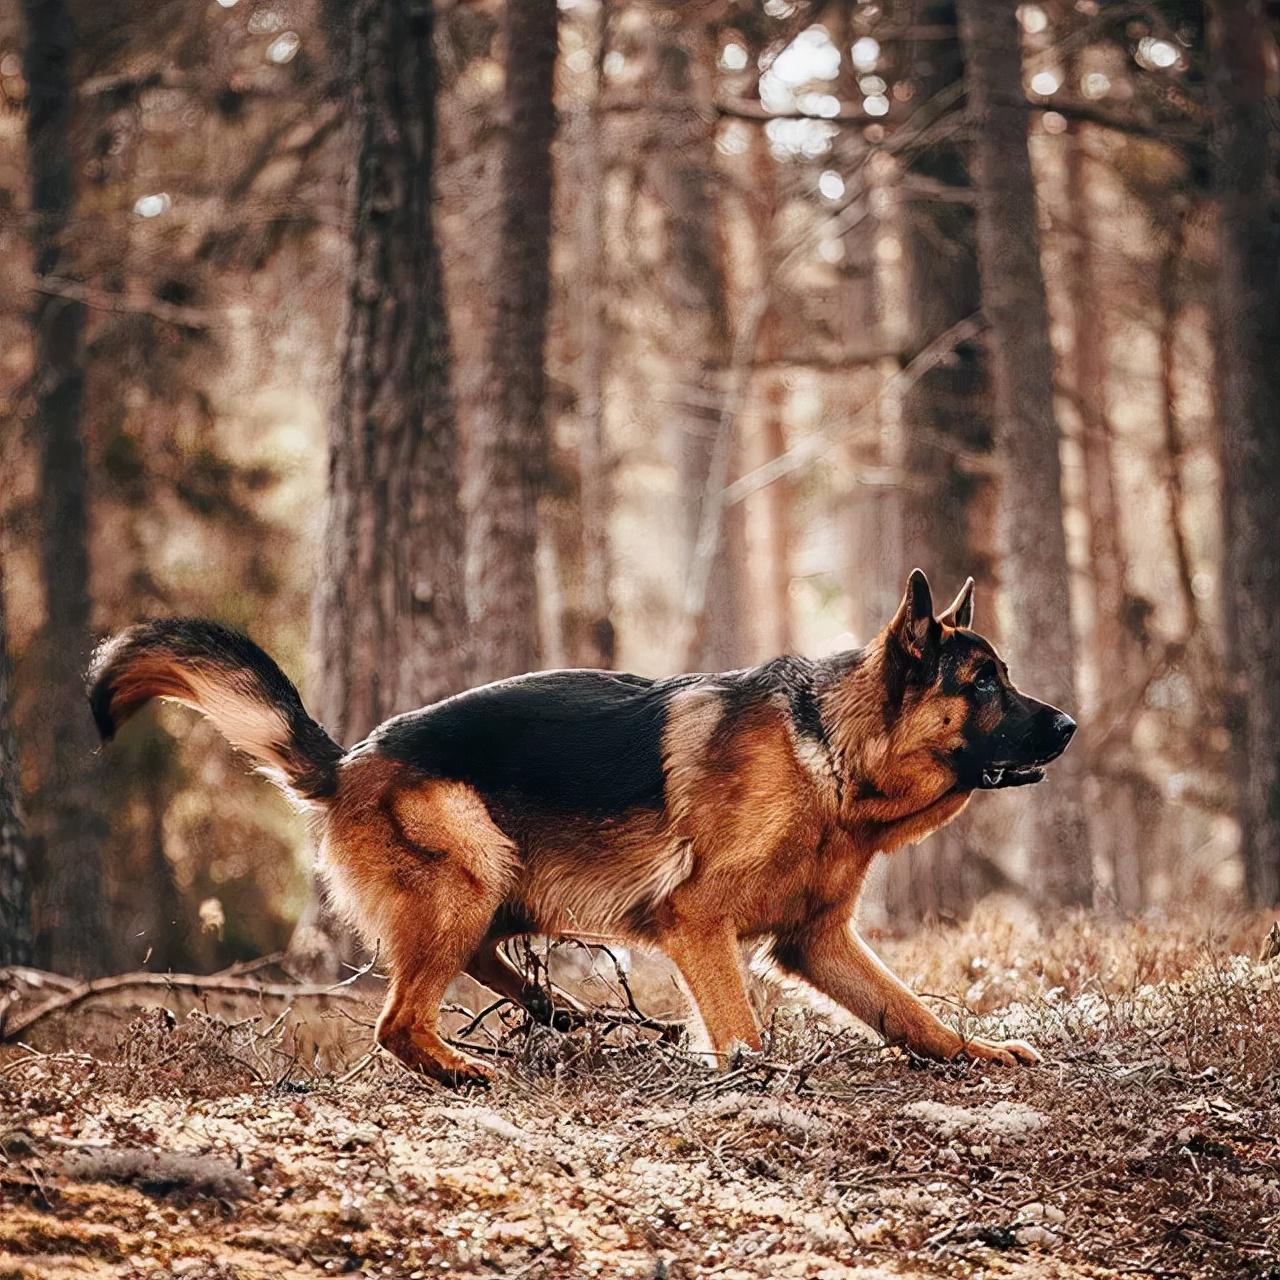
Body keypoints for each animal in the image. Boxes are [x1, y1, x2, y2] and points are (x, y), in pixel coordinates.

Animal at [85, 576, 1075, 1085]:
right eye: (984, 684)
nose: (1068, 725)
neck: (828, 752)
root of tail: (348, 760)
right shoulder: (698, 923)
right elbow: (742, 1030)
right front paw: (751, 1078)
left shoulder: (818, 940)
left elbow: (910, 1014)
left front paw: (980, 1051)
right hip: (470, 865)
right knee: (397, 1020)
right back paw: (466, 1067)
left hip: (497, 885)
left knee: (481, 965)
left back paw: (559, 1010)